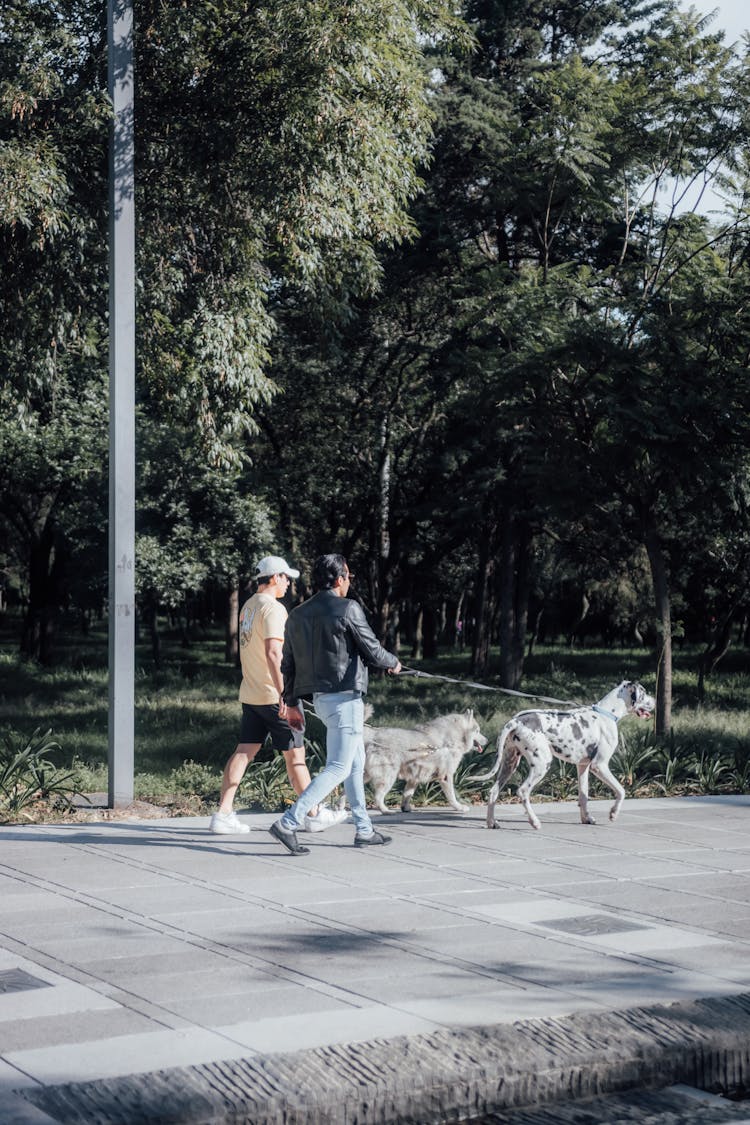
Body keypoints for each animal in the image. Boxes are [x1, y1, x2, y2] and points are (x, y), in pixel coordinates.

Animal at [362, 706, 490, 814]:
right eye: (478, 731)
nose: (488, 740)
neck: (453, 739)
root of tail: (373, 734)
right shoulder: (446, 776)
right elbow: (452, 796)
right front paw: (459, 807)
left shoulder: (414, 777)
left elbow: (407, 794)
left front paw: (405, 808)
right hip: (388, 777)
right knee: (378, 796)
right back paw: (385, 810)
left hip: (367, 774)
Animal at [474, 679, 656, 832]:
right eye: (644, 692)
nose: (655, 701)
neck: (606, 713)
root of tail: (516, 721)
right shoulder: (599, 765)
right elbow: (621, 790)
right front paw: (613, 813)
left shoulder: (583, 767)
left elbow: (583, 795)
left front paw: (586, 818)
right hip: (542, 763)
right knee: (523, 791)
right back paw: (534, 822)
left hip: (509, 763)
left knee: (493, 791)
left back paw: (491, 822)